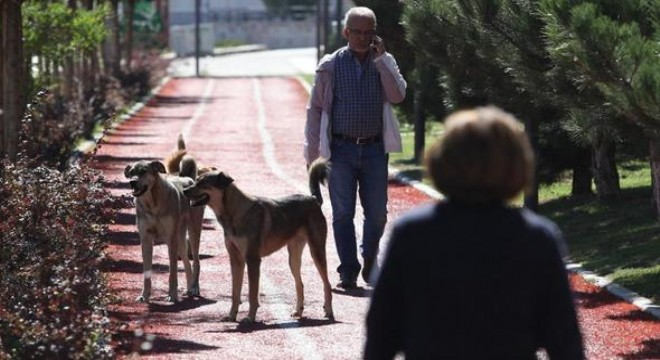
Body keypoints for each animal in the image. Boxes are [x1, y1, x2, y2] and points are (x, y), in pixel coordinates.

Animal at [125, 136, 205, 302]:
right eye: (131, 173)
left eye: (143, 171)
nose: (132, 182)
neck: (152, 204)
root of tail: (188, 179)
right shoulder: (146, 239)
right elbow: (147, 272)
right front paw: (144, 295)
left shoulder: (170, 239)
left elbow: (173, 271)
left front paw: (172, 295)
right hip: (180, 238)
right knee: (187, 263)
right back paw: (189, 289)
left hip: (193, 232)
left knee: (196, 262)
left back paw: (194, 288)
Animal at [182, 159, 332, 322]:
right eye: (196, 180)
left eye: (203, 183)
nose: (184, 191)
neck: (235, 212)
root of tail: (313, 199)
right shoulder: (236, 260)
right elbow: (235, 292)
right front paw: (231, 315)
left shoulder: (252, 259)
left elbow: (252, 293)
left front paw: (250, 318)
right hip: (293, 258)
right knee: (300, 284)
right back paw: (298, 311)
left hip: (317, 252)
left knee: (327, 284)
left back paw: (329, 312)